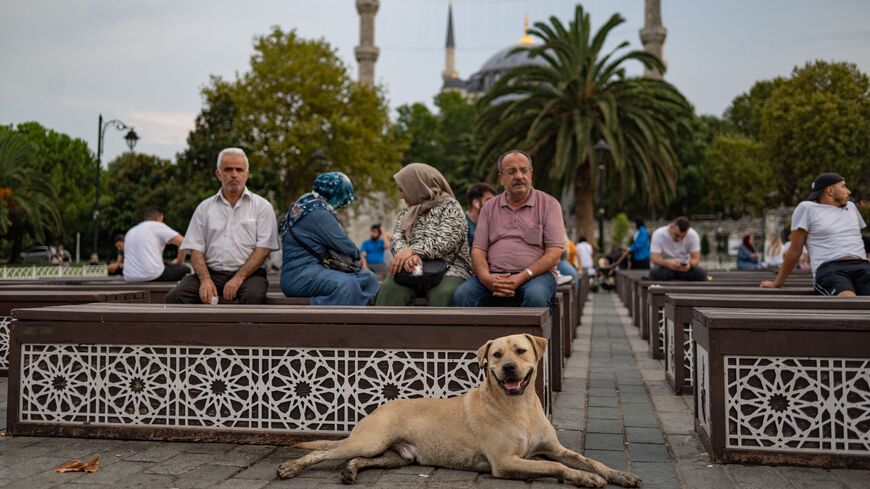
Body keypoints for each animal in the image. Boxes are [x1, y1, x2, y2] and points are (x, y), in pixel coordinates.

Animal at [278, 332, 640, 484]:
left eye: (521, 350)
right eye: (496, 355)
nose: (509, 368)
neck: (518, 406)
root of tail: (381, 407)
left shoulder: (555, 448)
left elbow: (588, 459)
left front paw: (617, 474)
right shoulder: (505, 462)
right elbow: (555, 467)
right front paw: (584, 479)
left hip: (397, 456)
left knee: (358, 460)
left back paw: (351, 470)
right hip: (370, 440)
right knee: (322, 452)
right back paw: (291, 468)